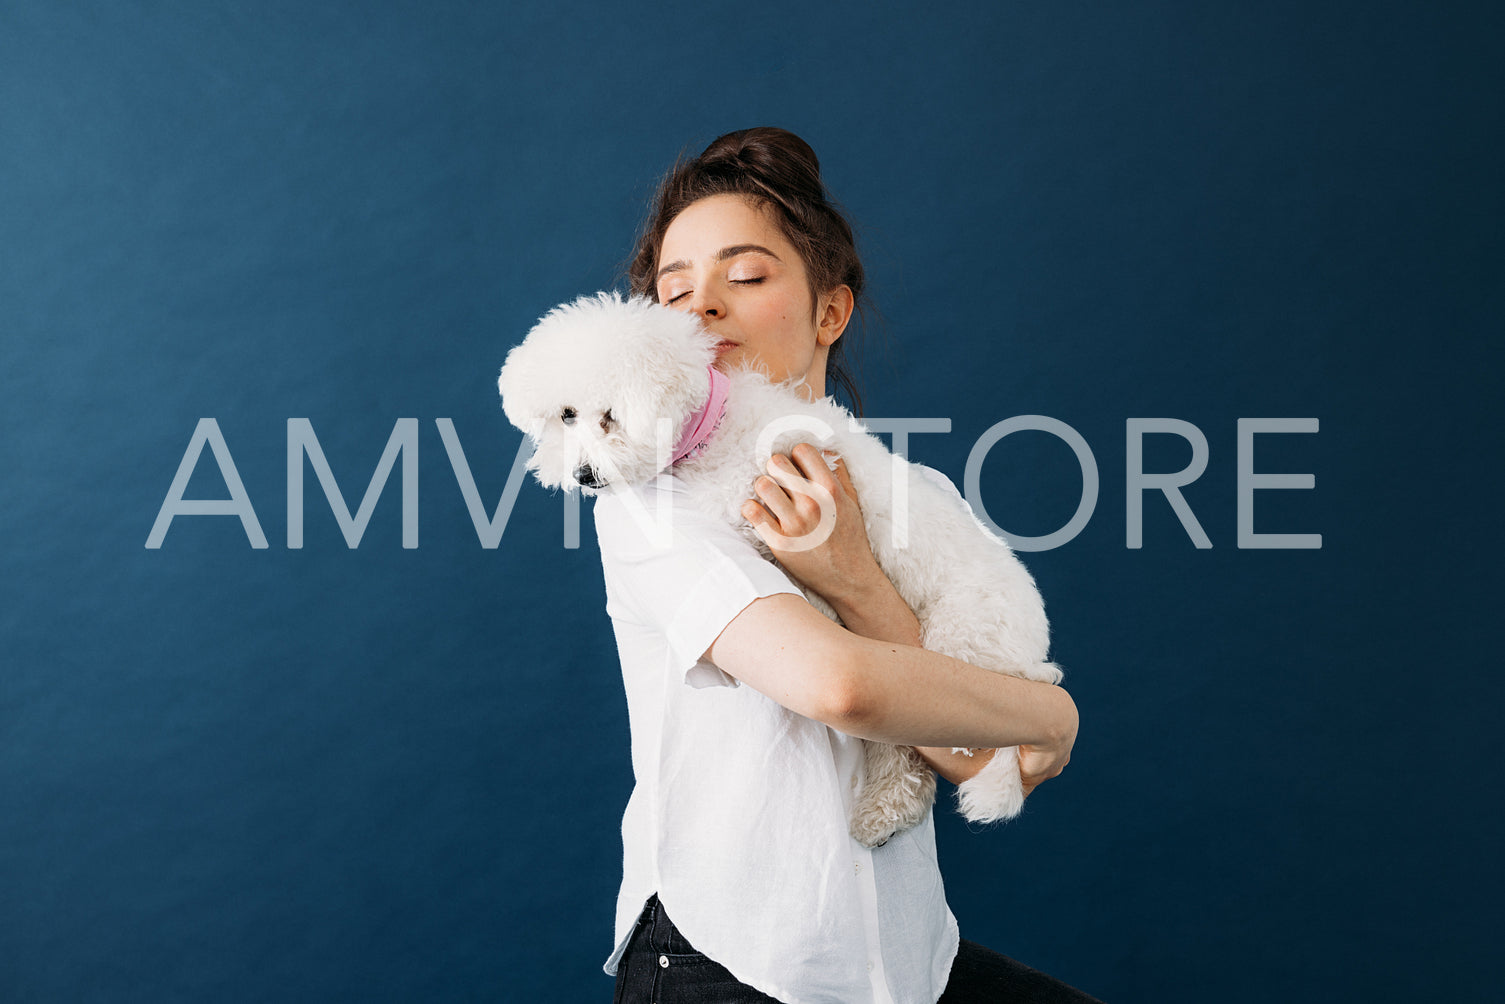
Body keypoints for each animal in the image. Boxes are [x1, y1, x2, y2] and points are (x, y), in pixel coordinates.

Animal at [499, 292, 1065, 848]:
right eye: (567, 414)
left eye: (610, 416)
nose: (583, 475)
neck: (716, 423)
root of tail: (1032, 652)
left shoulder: (752, 495)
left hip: (955, 646)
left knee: (917, 750)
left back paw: (886, 806)